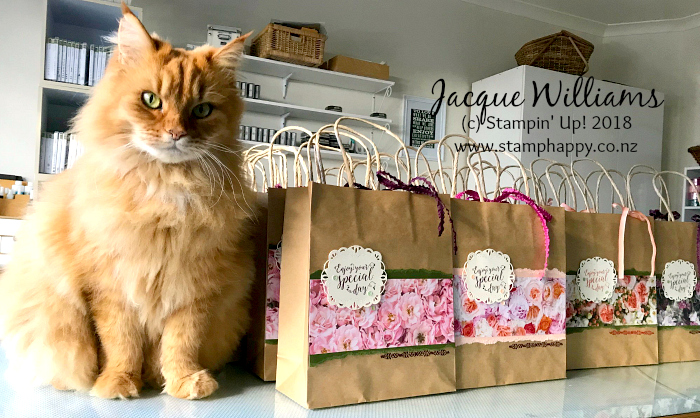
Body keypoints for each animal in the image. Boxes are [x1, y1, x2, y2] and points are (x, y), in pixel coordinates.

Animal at [0, 4, 256, 400]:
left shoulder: (196, 287)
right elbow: (120, 342)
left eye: (202, 110)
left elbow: (182, 341)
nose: (176, 133)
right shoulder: (109, 287)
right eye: (151, 100)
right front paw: (117, 383)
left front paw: (183, 381)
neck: (166, 194)